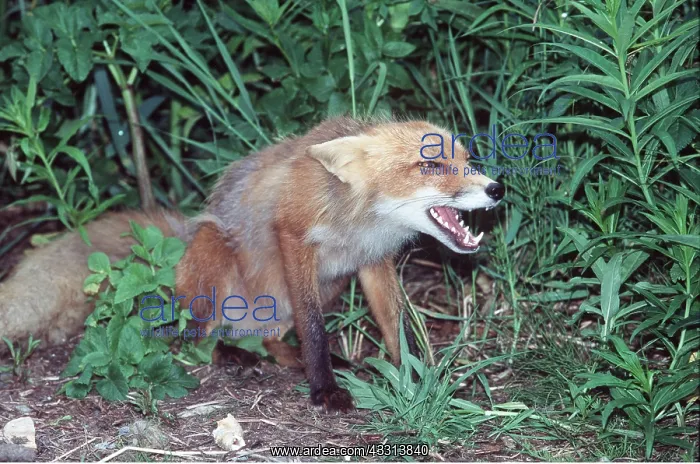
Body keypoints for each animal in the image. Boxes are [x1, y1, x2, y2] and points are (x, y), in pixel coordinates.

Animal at [0, 116, 504, 411]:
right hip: (215, 266)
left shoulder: (370, 262)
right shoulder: (294, 237)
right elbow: (314, 330)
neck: (360, 220)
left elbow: (395, 326)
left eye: (467, 160)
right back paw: (232, 355)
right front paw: (324, 389)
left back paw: (291, 357)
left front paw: (416, 380)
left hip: (327, 285)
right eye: (430, 165)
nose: (496, 188)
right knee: (192, 341)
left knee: (271, 338)